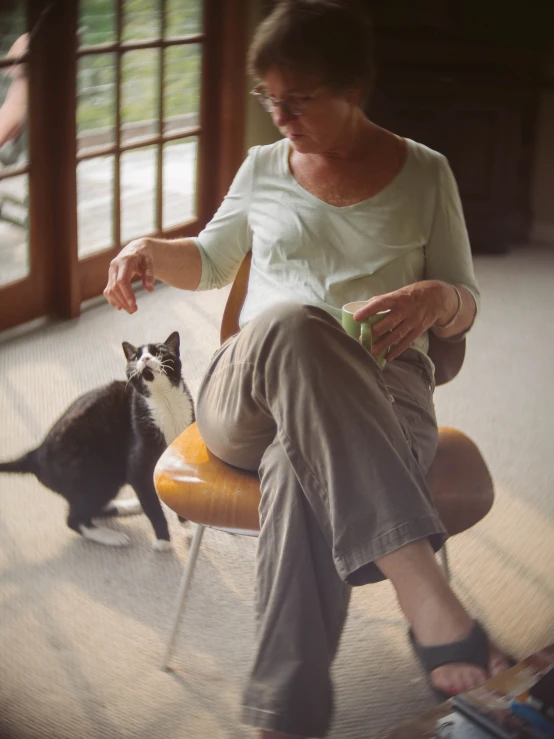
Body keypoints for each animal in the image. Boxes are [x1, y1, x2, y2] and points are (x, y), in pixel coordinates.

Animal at [0, 332, 194, 552]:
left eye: (159, 351)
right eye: (135, 357)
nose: (144, 359)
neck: (165, 404)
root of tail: (35, 453)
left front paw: (186, 523)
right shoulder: (137, 468)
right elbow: (152, 506)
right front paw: (163, 541)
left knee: (92, 509)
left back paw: (129, 506)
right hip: (96, 474)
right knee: (75, 519)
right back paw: (112, 536)